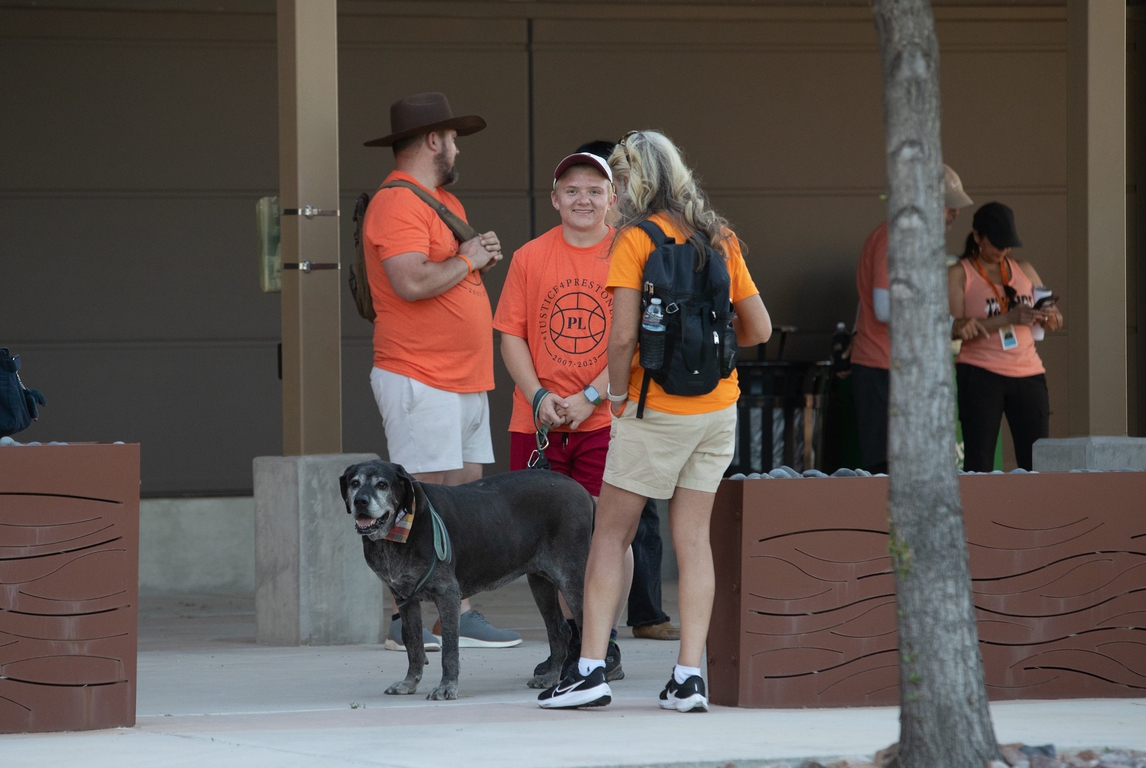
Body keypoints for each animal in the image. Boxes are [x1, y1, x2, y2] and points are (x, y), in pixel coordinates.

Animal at [336, 463, 591, 706]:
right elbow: (414, 646)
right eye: (354, 483)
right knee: (559, 630)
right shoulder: (405, 600)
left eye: (382, 484)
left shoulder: (447, 595)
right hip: (540, 582)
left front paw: (447, 688)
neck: (402, 529)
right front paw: (409, 683)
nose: (360, 501)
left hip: (571, 578)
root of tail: (582, 490)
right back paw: (551, 677)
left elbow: (449, 650)